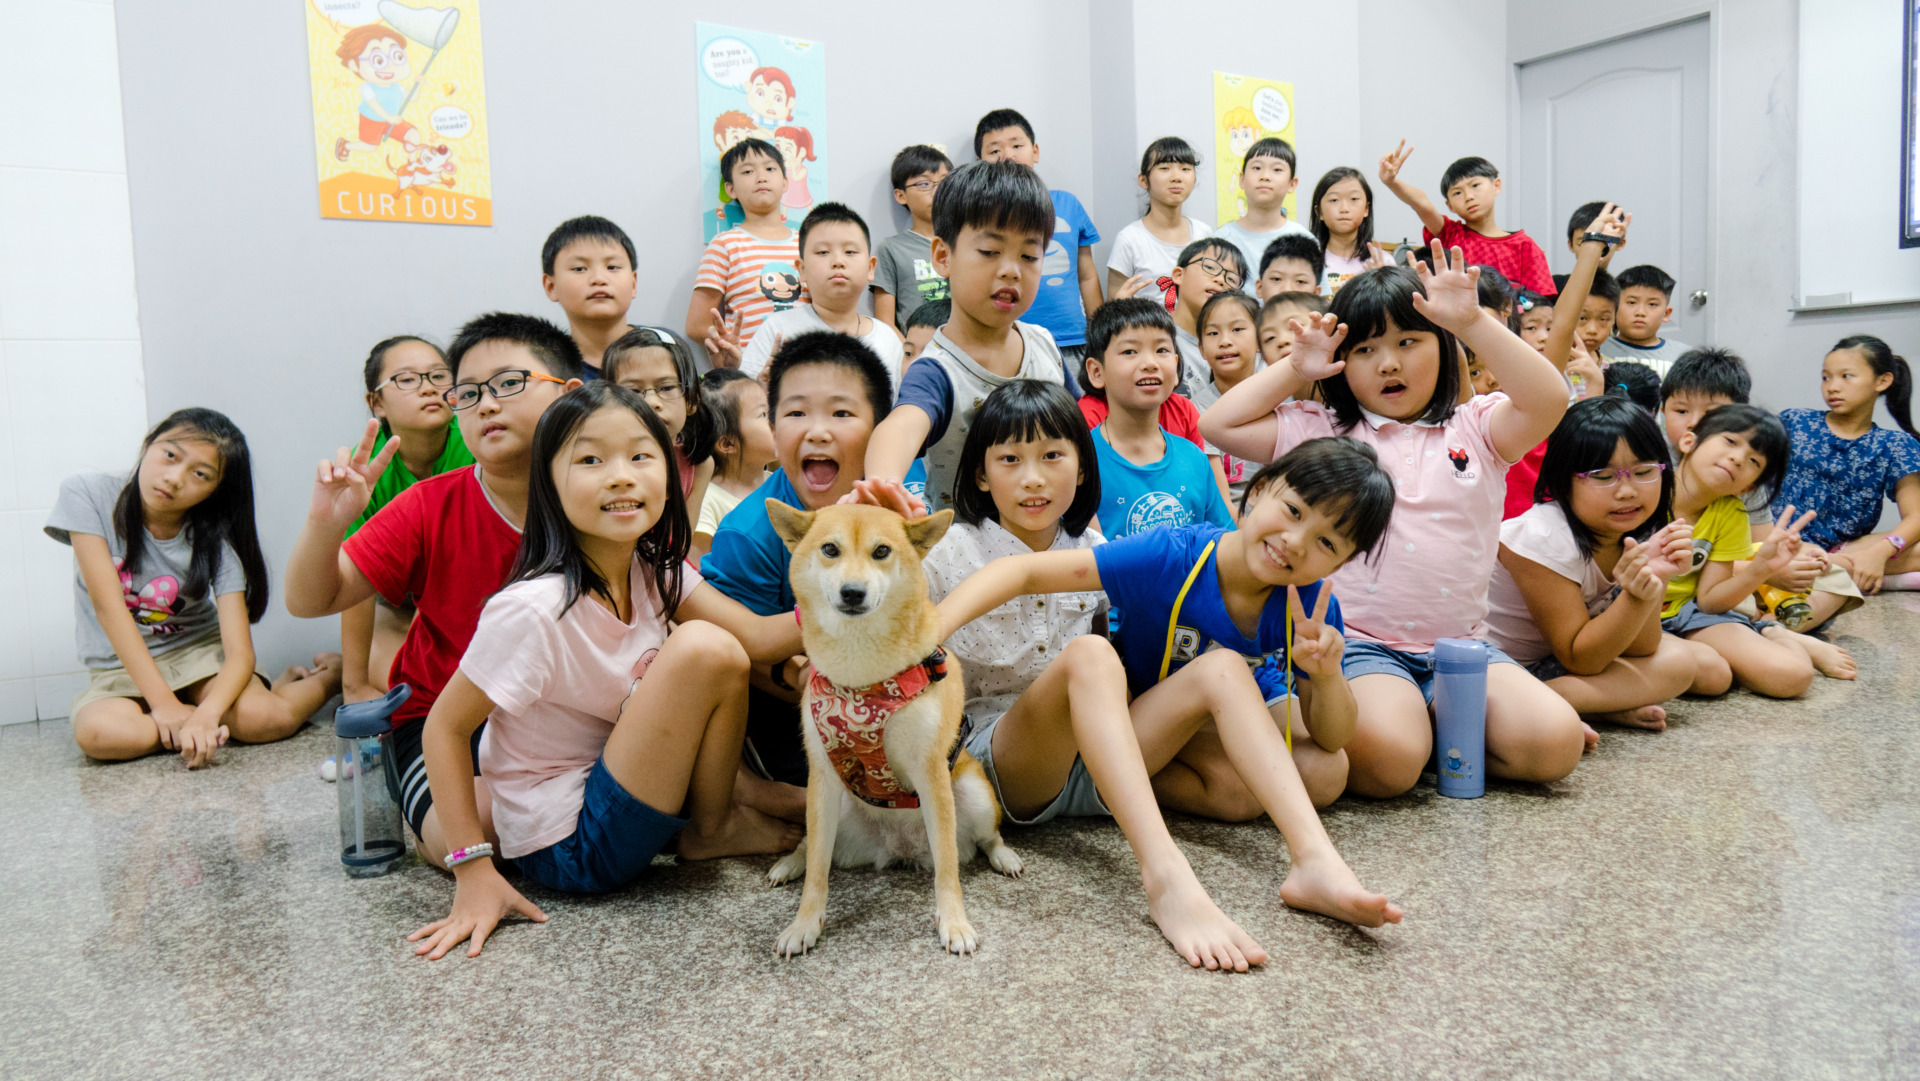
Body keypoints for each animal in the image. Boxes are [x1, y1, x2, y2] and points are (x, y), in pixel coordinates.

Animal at [760, 499, 1021, 956]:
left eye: (881, 551)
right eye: (830, 549)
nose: (852, 592)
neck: (862, 677)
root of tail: (900, 848)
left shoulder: (930, 771)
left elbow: (948, 869)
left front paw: (954, 923)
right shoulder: (822, 774)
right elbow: (818, 874)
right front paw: (804, 924)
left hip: (973, 792)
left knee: (986, 839)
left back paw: (1004, 857)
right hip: (833, 806)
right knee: (812, 846)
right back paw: (790, 862)